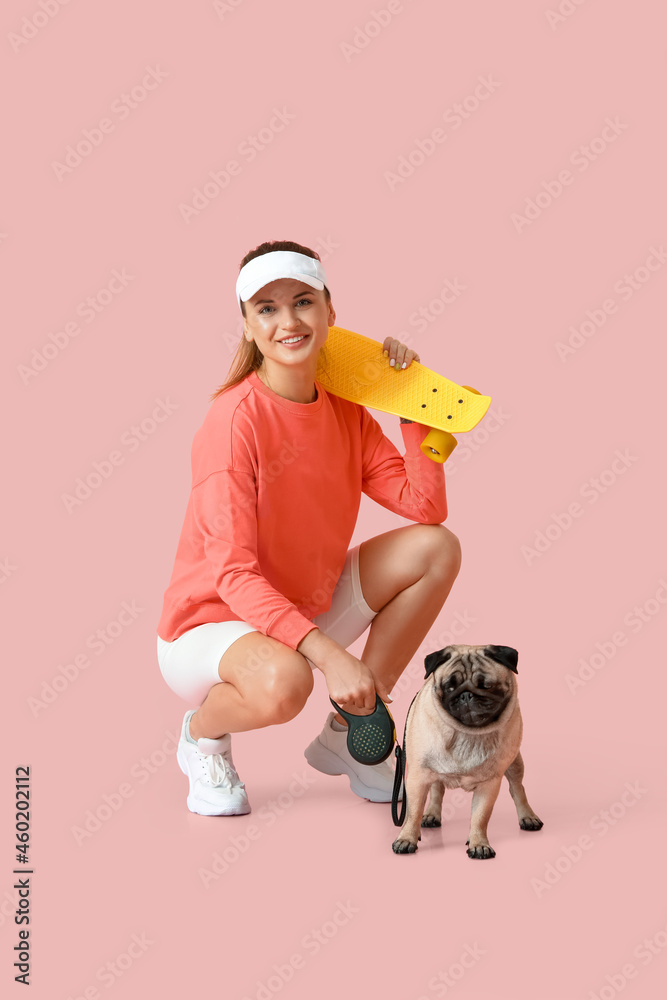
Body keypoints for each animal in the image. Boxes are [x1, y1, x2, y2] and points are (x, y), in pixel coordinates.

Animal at [392, 648, 544, 860]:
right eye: (449, 687)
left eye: (487, 686)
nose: (466, 695)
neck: (466, 734)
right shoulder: (417, 778)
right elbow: (413, 813)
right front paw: (406, 839)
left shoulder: (489, 785)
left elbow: (480, 817)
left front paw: (478, 843)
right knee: (437, 790)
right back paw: (431, 814)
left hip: (515, 763)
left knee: (517, 789)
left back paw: (528, 817)